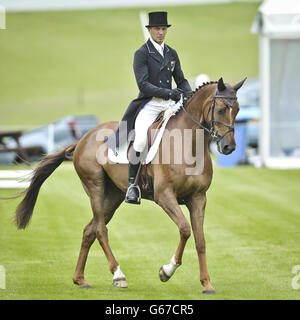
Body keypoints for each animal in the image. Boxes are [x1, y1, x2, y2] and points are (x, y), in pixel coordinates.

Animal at [14, 77, 245, 296]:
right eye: (221, 109)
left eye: (238, 110)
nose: (229, 147)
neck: (187, 144)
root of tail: (83, 138)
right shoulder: (165, 196)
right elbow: (185, 229)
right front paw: (166, 271)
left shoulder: (198, 198)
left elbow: (200, 240)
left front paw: (207, 284)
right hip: (95, 188)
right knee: (100, 229)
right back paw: (118, 275)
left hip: (113, 196)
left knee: (89, 230)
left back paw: (80, 279)